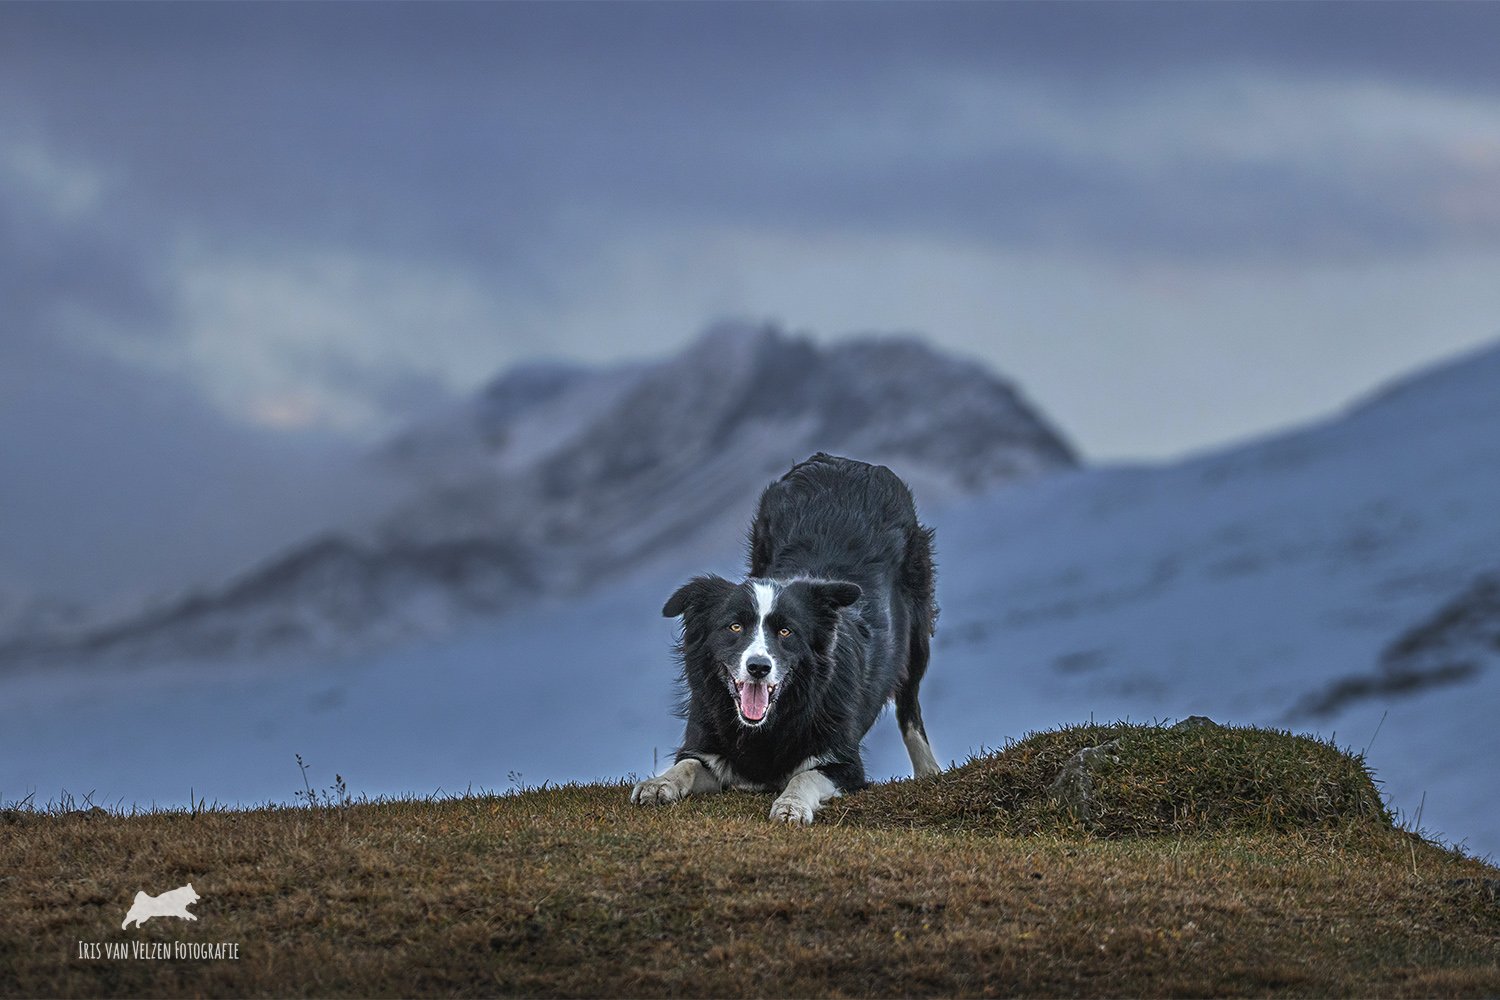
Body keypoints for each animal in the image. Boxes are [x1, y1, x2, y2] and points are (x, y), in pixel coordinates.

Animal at [630, 458, 936, 827]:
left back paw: (930, 771)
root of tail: (843, 461)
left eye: (786, 632)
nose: (758, 667)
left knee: (910, 706)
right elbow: (687, 765)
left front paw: (791, 805)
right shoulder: (711, 747)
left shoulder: (845, 763)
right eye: (734, 626)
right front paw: (657, 784)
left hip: (916, 630)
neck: (767, 725)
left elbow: (805, 775)